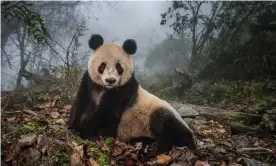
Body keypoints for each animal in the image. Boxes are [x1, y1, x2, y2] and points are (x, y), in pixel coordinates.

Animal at [67, 33, 195, 150]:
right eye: (102, 65)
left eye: (119, 67)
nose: (110, 80)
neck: (105, 88)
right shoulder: (89, 83)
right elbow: (81, 103)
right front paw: (74, 126)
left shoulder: (124, 90)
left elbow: (106, 114)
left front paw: (88, 133)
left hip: (160, 112)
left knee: (165, 125)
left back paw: (157, 147)